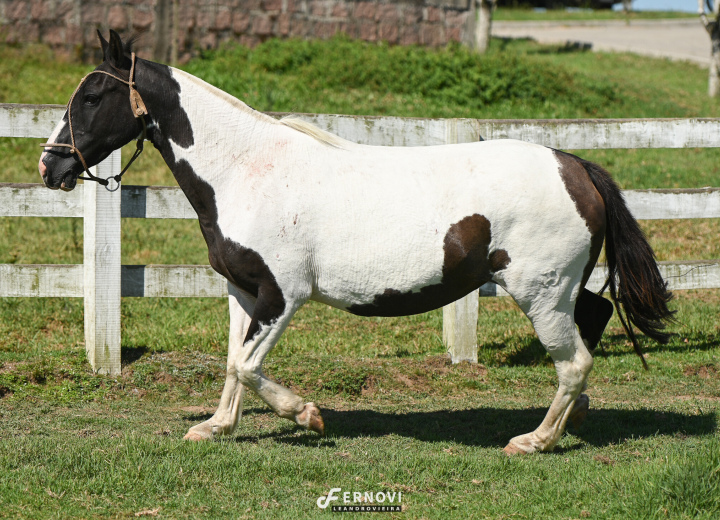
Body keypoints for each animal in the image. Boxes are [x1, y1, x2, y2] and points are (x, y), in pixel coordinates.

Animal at [38, 33, 676, 456]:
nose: (51, 166)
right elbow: (233, 362)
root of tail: (575, 165)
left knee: (576, 361)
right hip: (559, 290)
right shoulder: (243, 293)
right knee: (593, 324)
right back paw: (575, 419)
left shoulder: (282, 297)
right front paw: (216, 427)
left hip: (539, 293)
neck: (247, 171)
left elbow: (247, 365)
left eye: (92, 96)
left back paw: (536, 439)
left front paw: (308, 416)